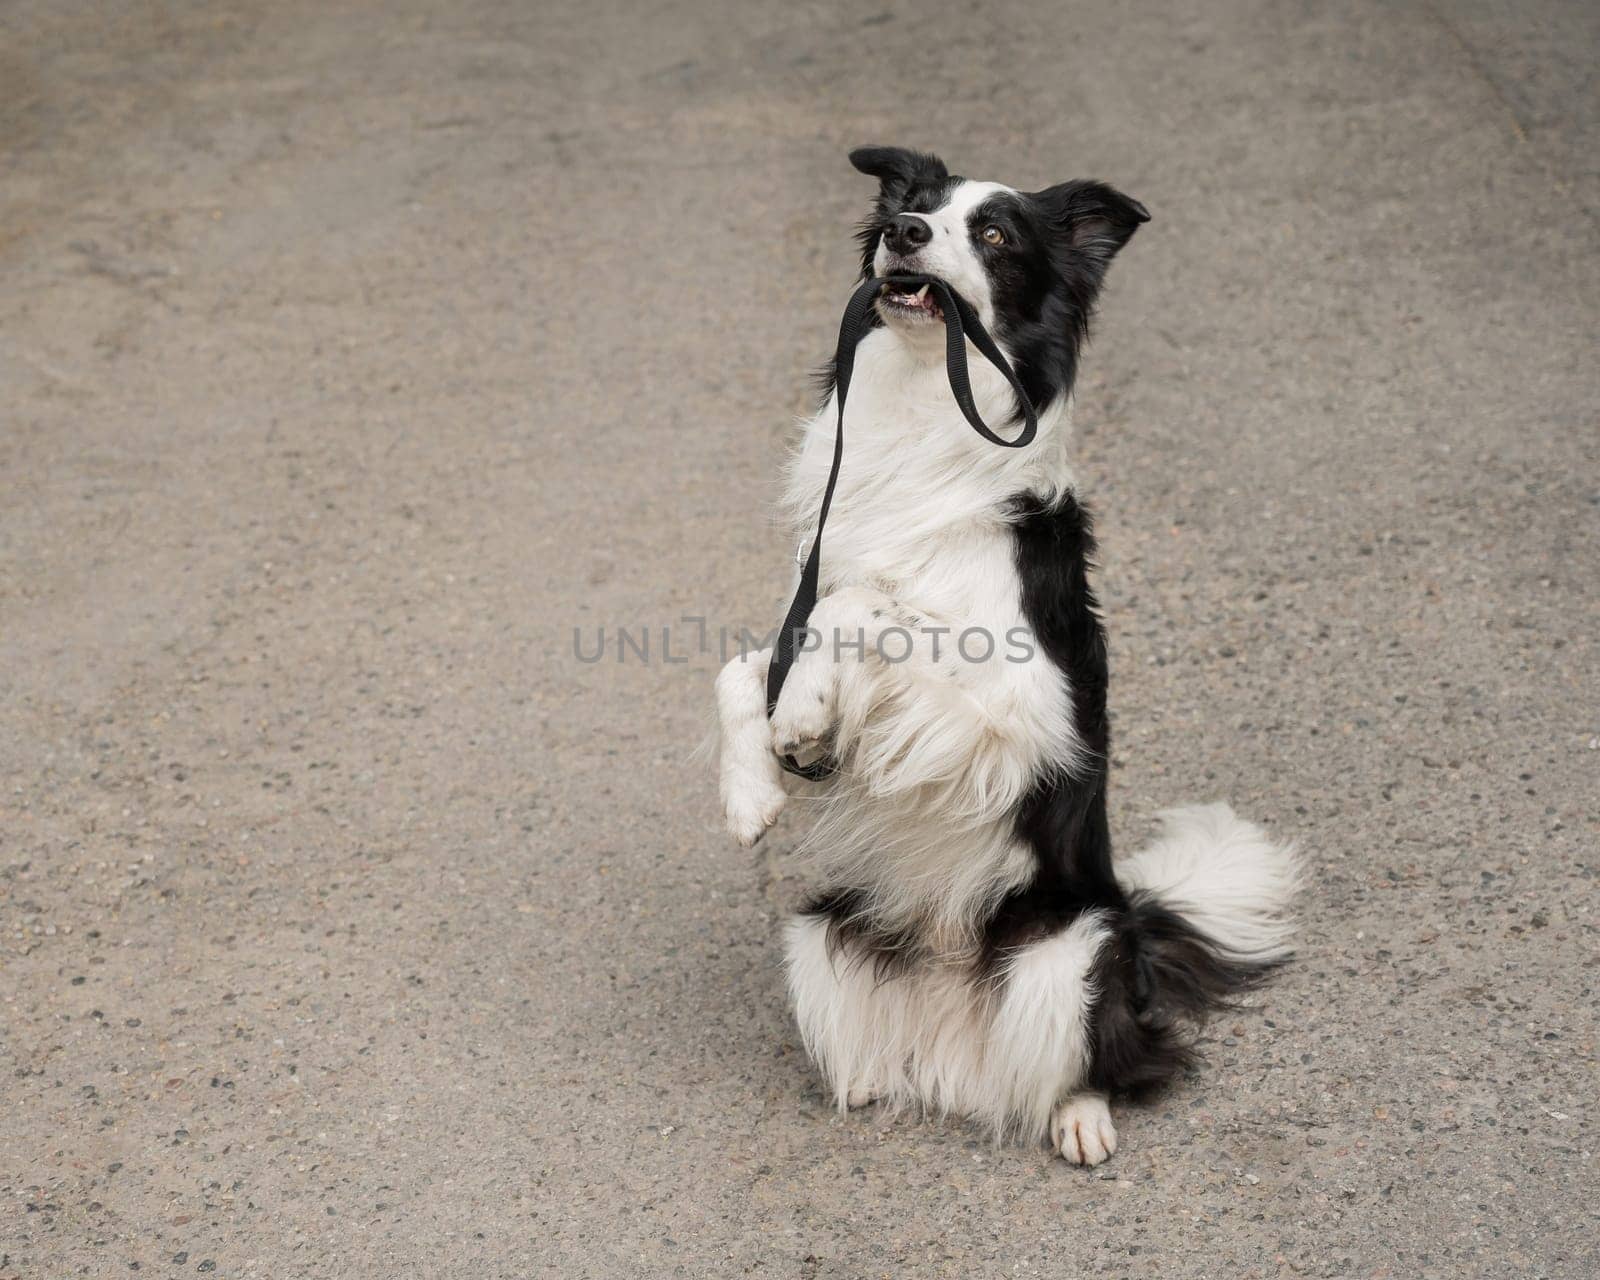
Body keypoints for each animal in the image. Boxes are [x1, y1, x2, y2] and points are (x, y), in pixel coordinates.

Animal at [720, 144, 1292, 1164]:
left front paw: (804, 714)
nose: (905, 234)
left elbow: (864, 603)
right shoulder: (806, 617)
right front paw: (755, 785)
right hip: (822, 931)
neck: (918, 419)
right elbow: (743, 668)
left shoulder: (1018, 718)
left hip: (1074, 949)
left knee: (1103, 1059)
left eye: (993, 234)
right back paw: (870, 1080)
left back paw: (1079, 1117)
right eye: (911, 206)